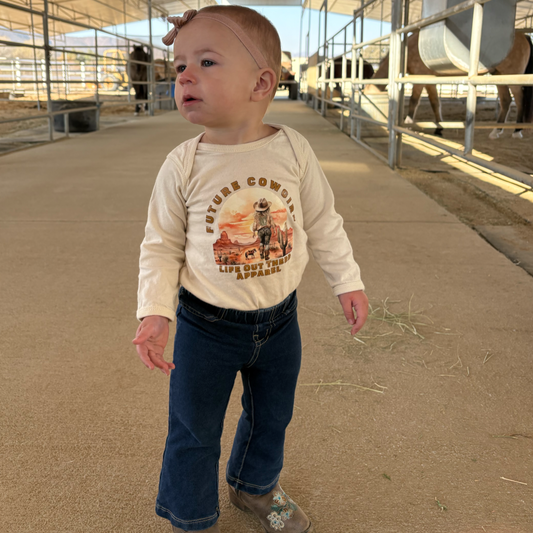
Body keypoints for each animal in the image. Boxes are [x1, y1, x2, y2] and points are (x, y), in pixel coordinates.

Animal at [364, 29, 532, 138]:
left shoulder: (420, 78)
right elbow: (435, 103)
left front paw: (409, 124)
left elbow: (413, 101)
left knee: (520, 99)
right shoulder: (430, 81)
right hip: (498, 75)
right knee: (506, 100)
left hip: (512, 76)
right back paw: (496, 131)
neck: (407, 49)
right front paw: (439, 129)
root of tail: (524, 35)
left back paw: (517, 131)